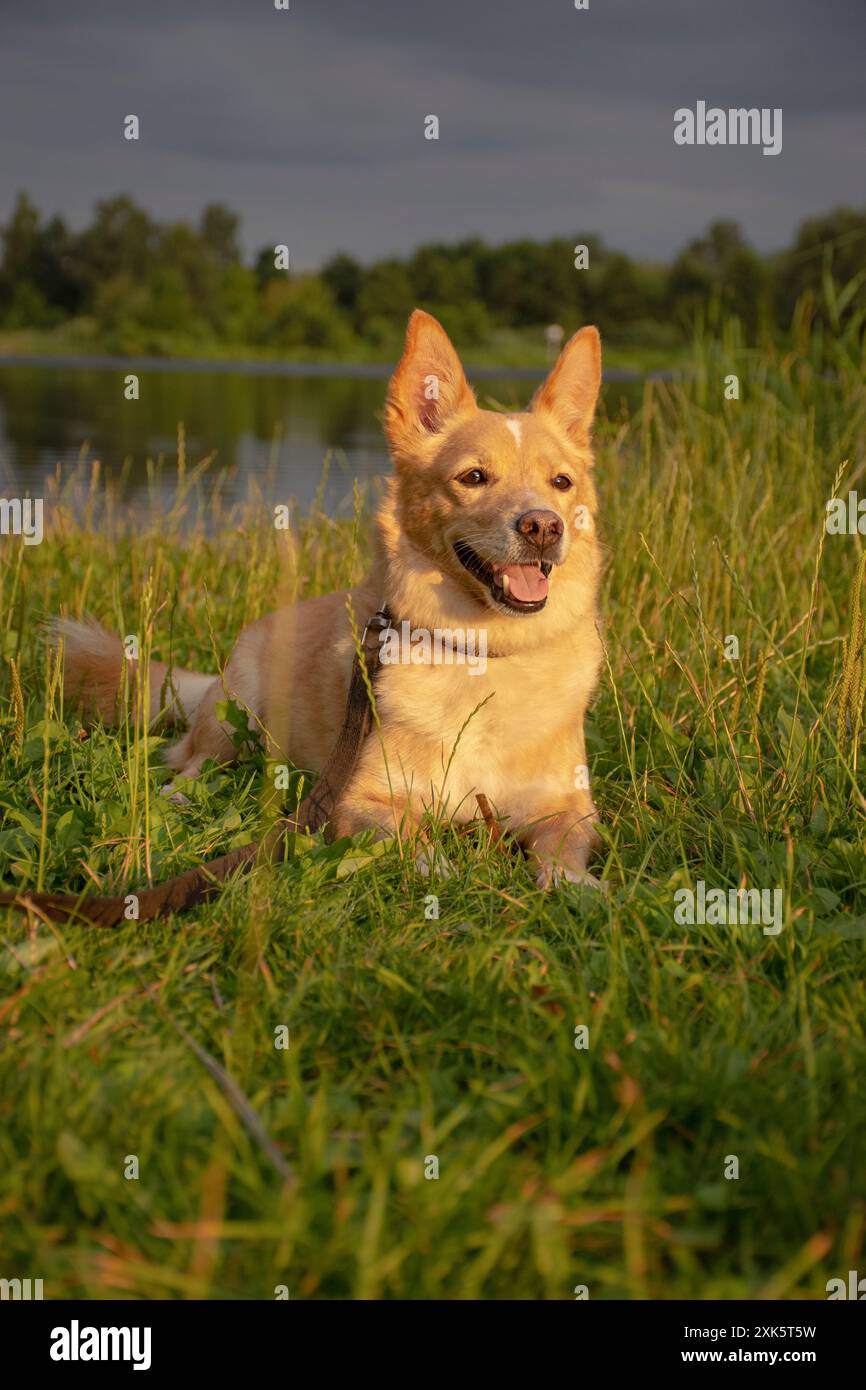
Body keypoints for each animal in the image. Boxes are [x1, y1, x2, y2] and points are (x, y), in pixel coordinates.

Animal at [57, 309, 606, 884]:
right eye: (474, 477)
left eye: (561, 482)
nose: (543, 526)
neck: (483, 648)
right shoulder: (358, 801)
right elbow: (416, 846)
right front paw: (445, 873)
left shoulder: (572, 806)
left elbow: (562, 849)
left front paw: (578, 887)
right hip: (237, 716)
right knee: (191, 763)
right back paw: (178, 796)